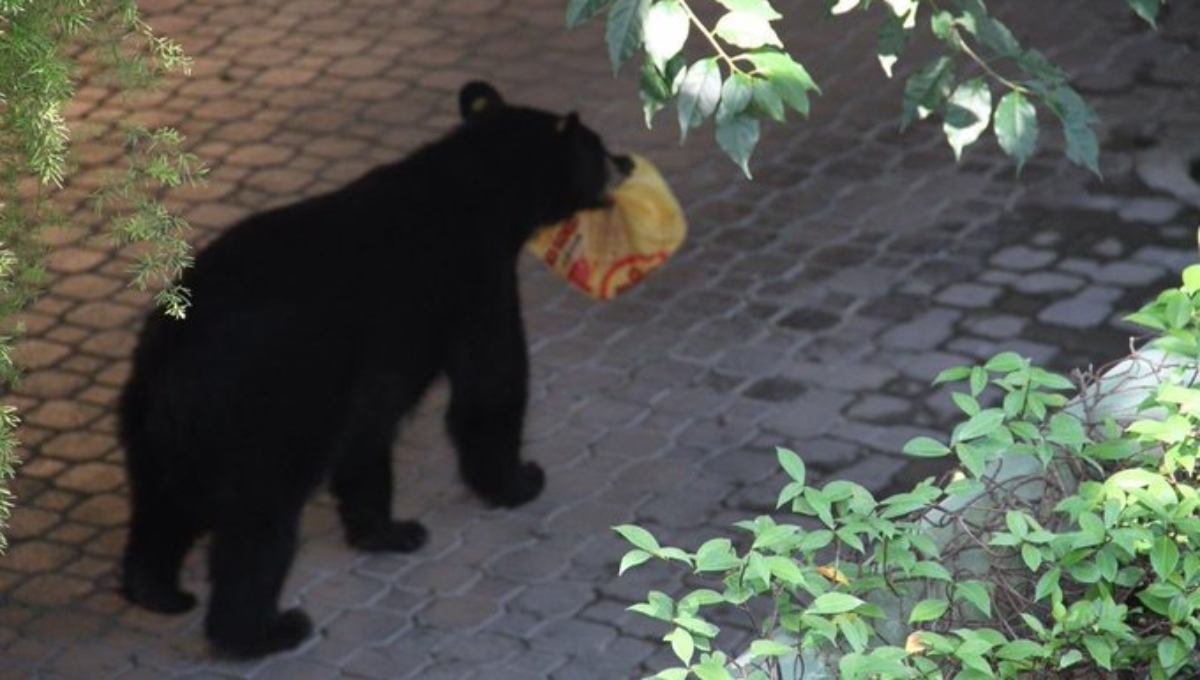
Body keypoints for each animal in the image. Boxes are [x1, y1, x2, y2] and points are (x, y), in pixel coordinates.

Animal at [117, 80, 633, 662]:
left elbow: (368, 431)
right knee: (259, 520)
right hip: (270, 406)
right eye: (598, 148)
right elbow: (491, 382)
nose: (626, 162)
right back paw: (264, 629)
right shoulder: (477, 278)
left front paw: (387, 530)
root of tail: (176, 356)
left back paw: (155, 589)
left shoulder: (375, 362)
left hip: (155, 424)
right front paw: (520, 479)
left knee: (162, 503)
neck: (480, 187)